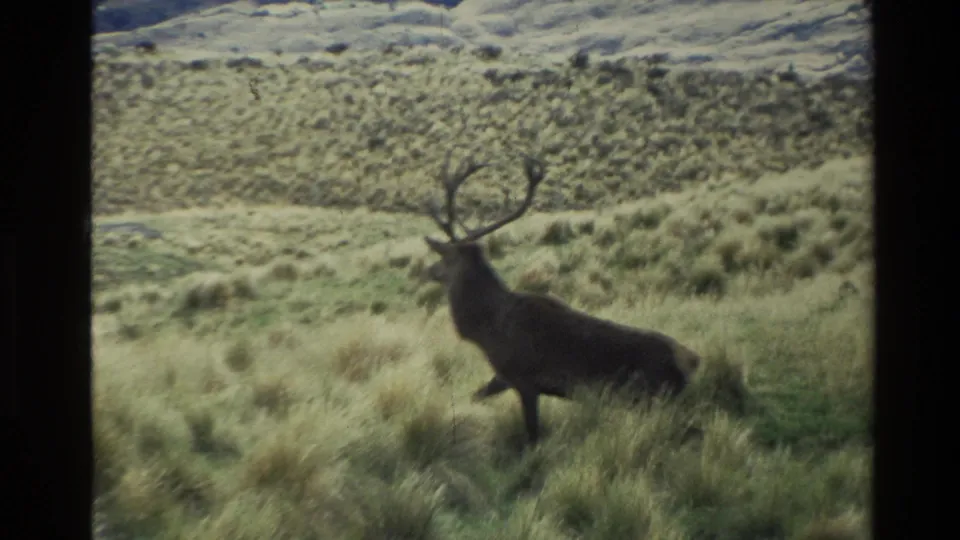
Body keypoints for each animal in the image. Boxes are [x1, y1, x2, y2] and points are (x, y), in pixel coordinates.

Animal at [422, 150, 702, 445]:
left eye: (446, 256)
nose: (428, 270)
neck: (487, 331)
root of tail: (693, 362)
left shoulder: (523, 378)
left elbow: (533, 434)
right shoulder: (503, 377)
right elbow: (476, 396)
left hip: (653, 397)